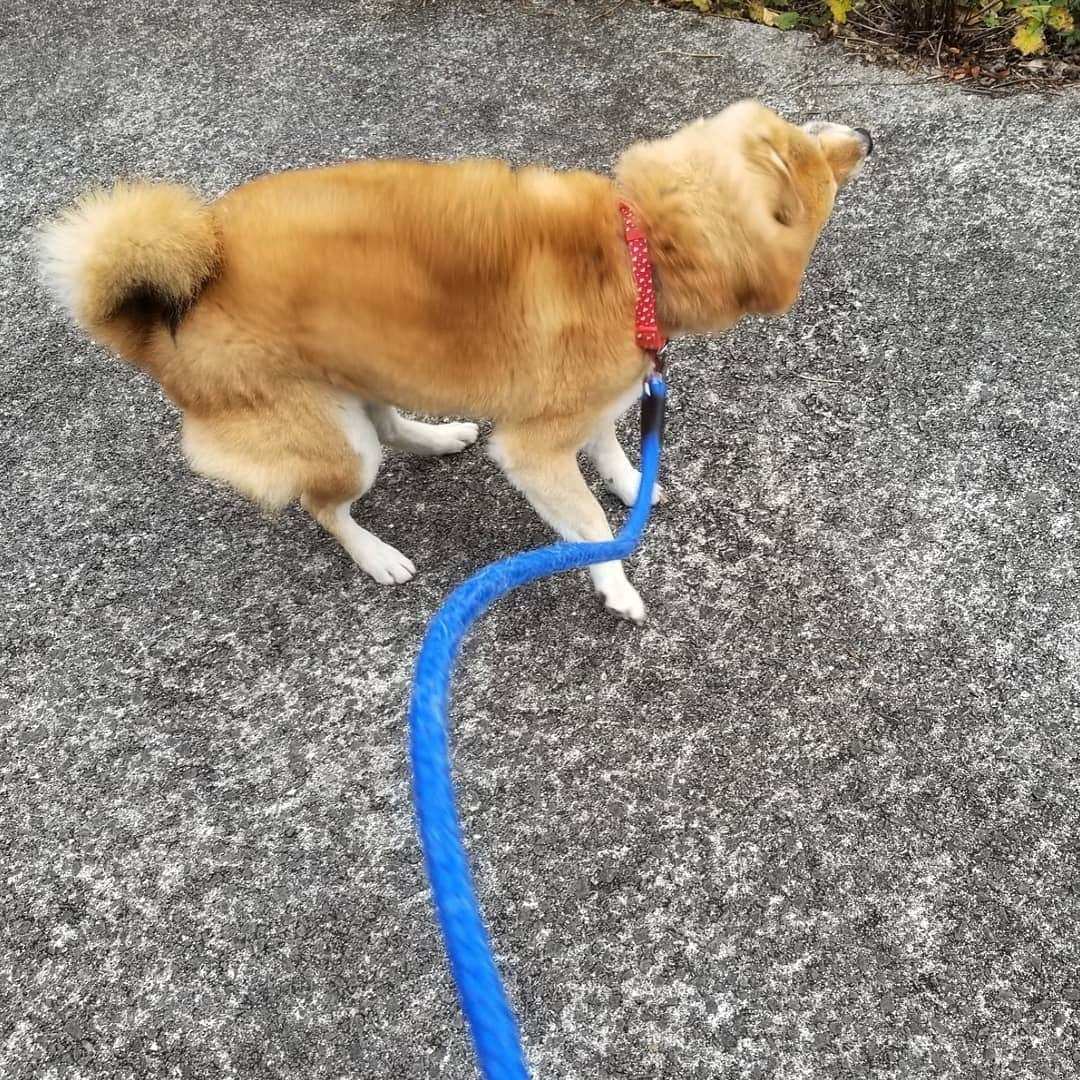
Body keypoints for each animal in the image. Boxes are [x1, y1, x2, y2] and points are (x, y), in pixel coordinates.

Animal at [38, 103, 872, 626]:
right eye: (824, 172)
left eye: (803, 128)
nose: (867, 134)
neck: (639, 251)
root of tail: (156, 324)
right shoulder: (536, 449)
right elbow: (590, 520)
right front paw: (615, 577)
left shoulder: (595, 405)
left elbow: (610, 452)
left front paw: (636, 484)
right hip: (336, 442)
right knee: (325, 504)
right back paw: (376, 556)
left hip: (359, 372)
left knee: (391, 427)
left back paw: (438, 437)